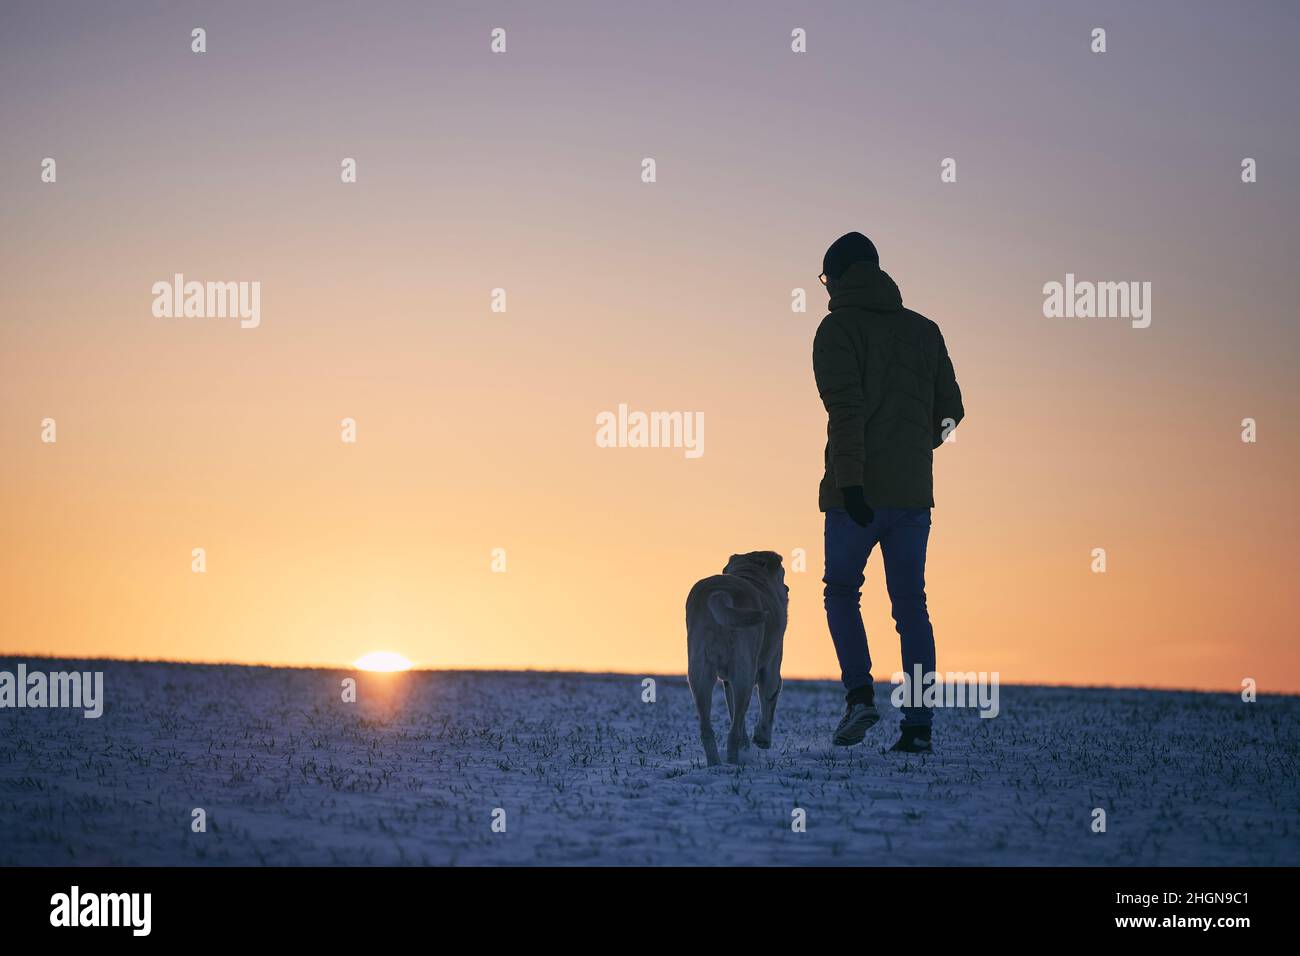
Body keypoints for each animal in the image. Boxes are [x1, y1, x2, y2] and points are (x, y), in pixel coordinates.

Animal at [686, 548, 785, 764]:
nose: (787, 589)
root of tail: (721, 594)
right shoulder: (772, 666)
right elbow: (770, 698)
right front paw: (762, 739)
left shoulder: (727, 682)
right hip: (743, 673)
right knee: (735, 729)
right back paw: (734, 761)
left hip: (699, 673)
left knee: (708, 728)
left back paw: (715, 763)